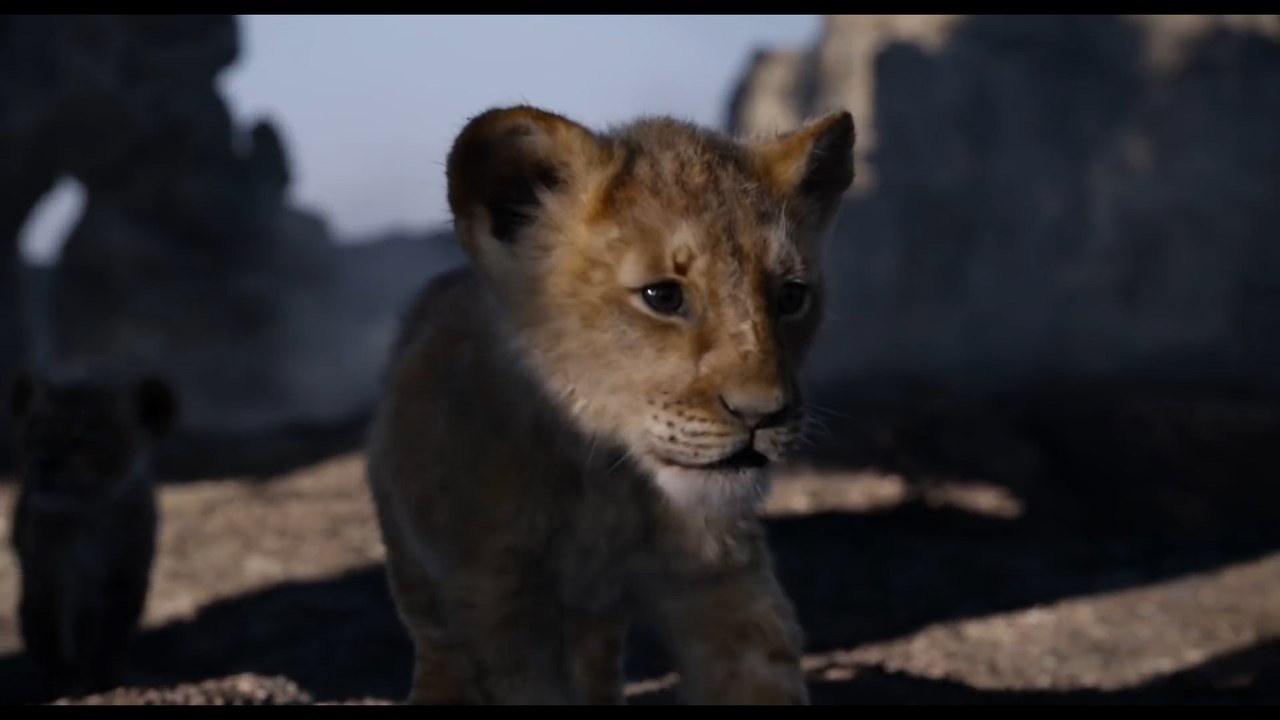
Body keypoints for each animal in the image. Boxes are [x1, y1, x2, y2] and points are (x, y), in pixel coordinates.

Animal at [365, 103, 855, 704]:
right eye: (662, 296)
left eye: (790, 297)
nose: (763, 413)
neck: (607, 483)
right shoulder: (498, 599)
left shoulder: (720, 574)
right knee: (435, 640)